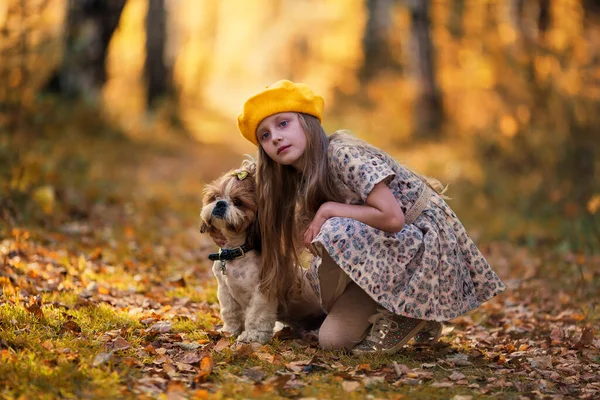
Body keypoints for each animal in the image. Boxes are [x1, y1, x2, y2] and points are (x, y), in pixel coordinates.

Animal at [200, 159, 324, 344]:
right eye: (215, 197)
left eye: (238, 202)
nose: (220, 203)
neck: (237, 252)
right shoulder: (225, 291)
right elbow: (230, 313)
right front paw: (229, 331)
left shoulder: (262, 293)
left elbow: (257, 316)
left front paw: (252, 337)